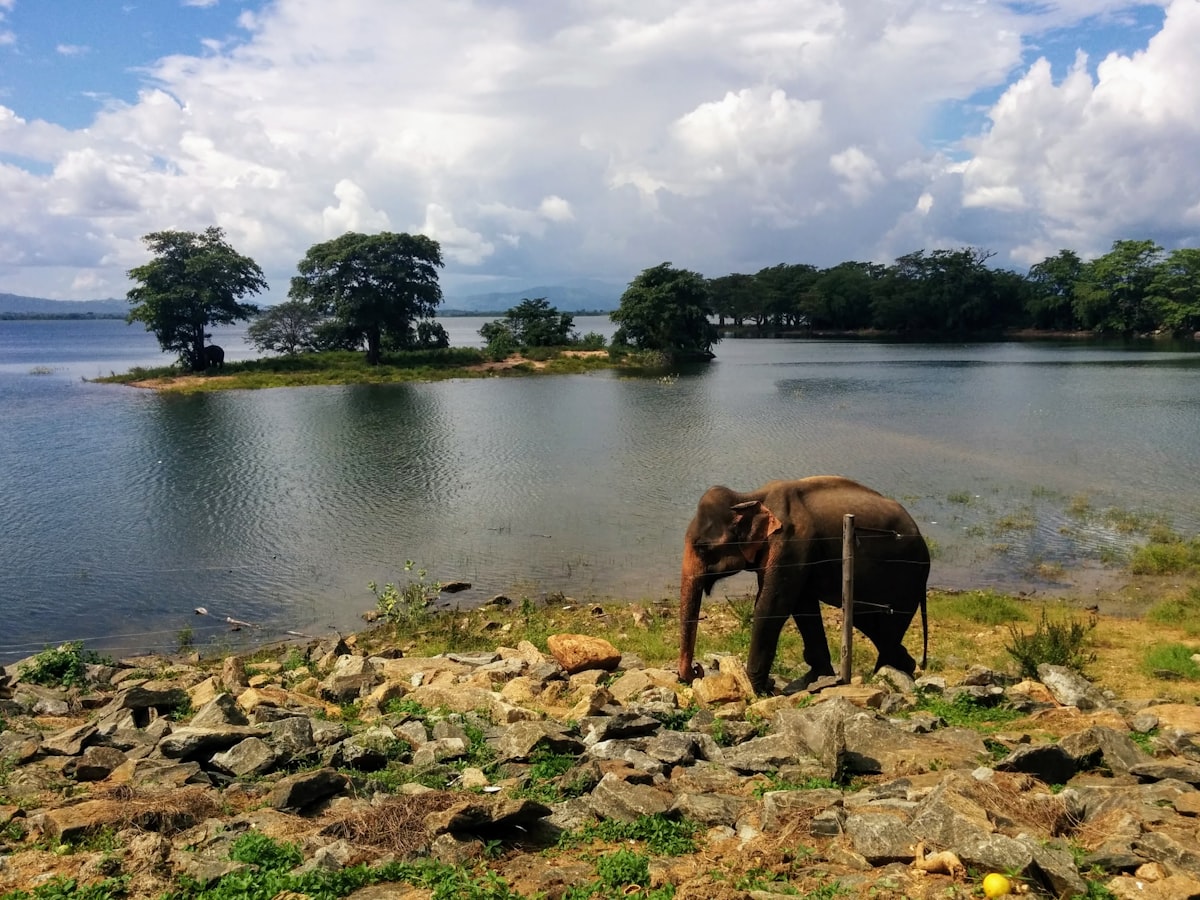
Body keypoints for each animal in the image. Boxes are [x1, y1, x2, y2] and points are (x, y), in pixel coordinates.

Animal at [678, 476, 929, 696]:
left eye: (702, 547)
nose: (696, 670)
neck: (750, 497)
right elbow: (802, 605)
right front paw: (814, 679)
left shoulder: (791, 543)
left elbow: (773, 605)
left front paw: (755, 688)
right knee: (874, 625)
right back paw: (905, 667)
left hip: (907, 577)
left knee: (887, 629)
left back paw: (887, 674)